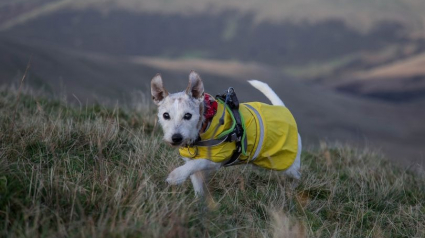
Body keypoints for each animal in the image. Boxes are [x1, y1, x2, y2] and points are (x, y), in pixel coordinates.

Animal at [151, 70, 300, 195]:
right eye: (165, 115)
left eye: (188, 115)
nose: (176, 138)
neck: (204, 124)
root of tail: (282, 108)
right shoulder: (191, 161)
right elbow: (195, 176)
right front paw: (199, 202)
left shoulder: (216, 159)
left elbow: (197, 163)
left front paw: (176, 176)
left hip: (287, 164)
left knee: (297, 176)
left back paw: (293, 188)